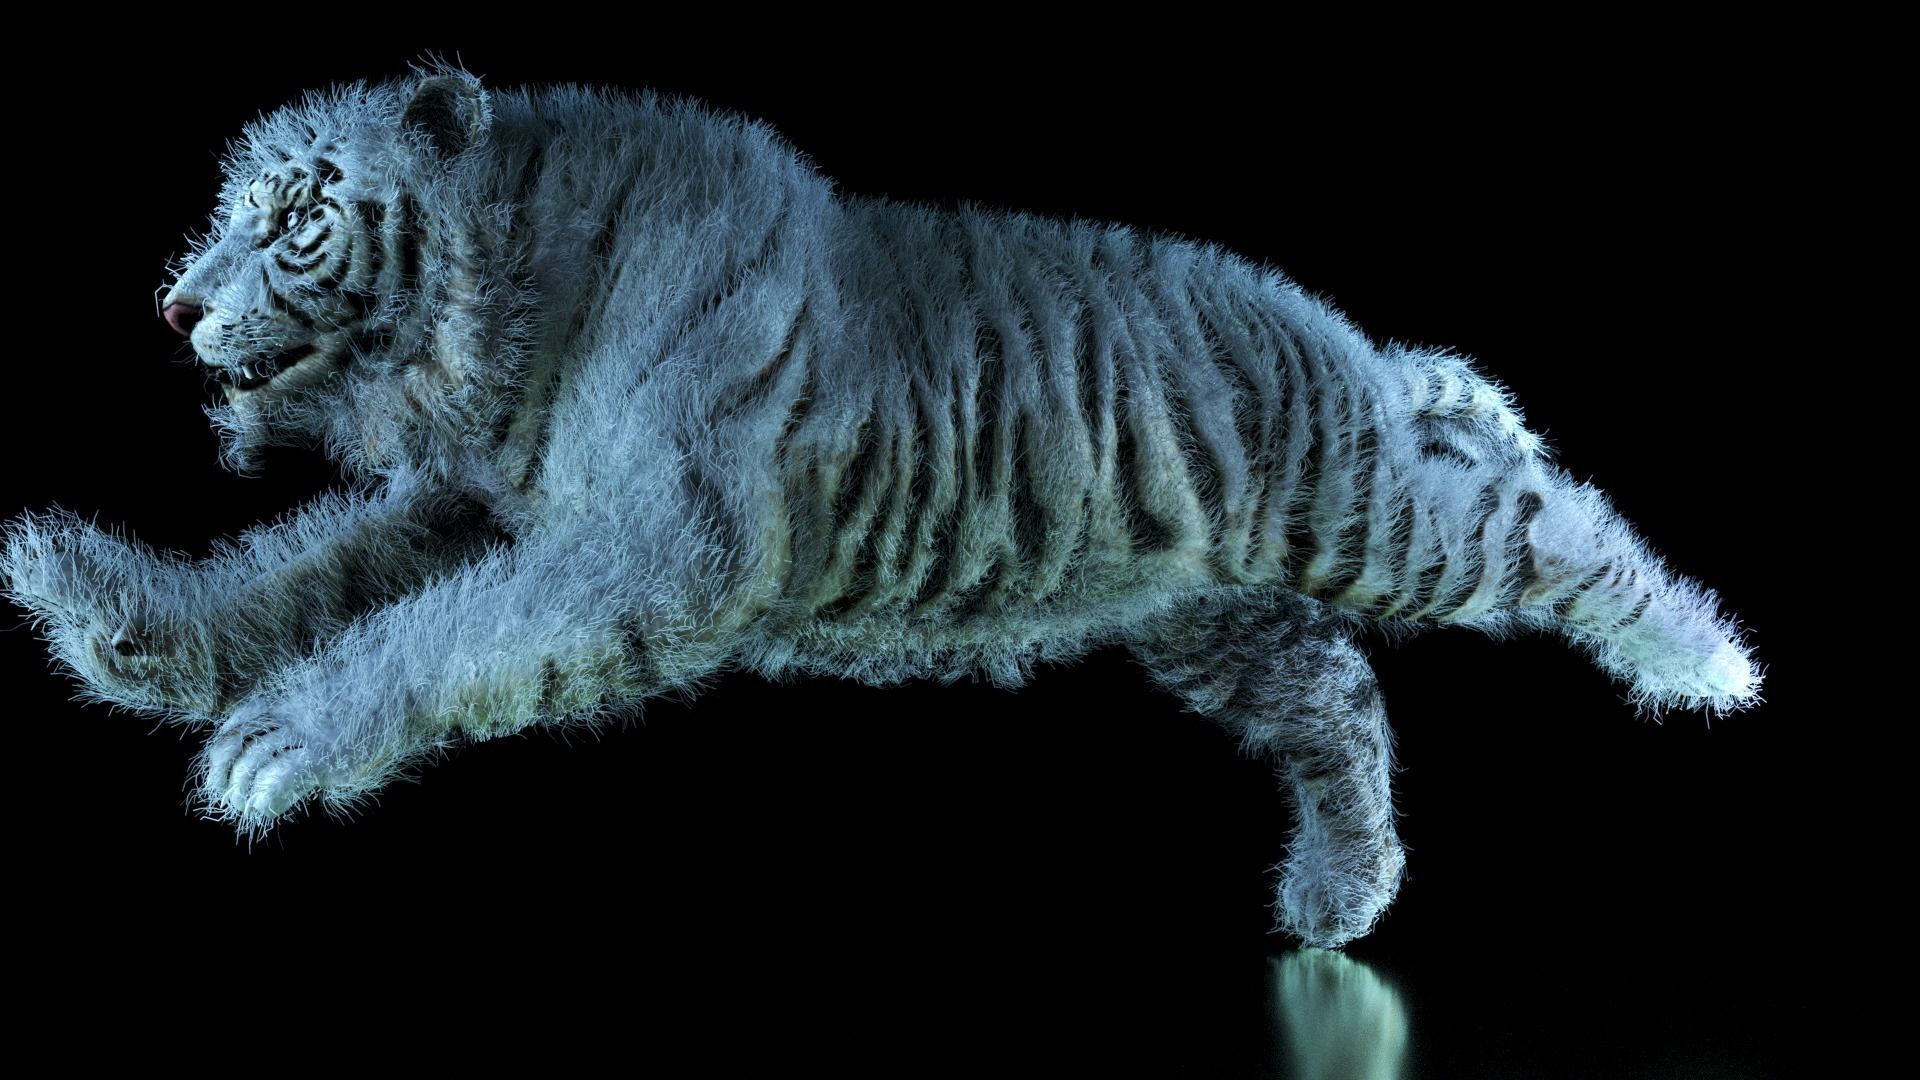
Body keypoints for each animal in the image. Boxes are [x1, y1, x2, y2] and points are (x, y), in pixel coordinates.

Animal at [0, 63, 1761, 947]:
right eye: (223, 212)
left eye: (289, 217)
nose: (172, 305)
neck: (504, 308)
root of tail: (1338, 334)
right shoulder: (473, 507)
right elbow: (297, 576)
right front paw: (110, 615)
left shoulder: (653, 546)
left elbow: (437, 640)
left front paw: (276, 745)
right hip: (1213, 613)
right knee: (1336, 692)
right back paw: (1337, 899)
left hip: (1365, 508)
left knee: (1542, 520)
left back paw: (1705, 661)